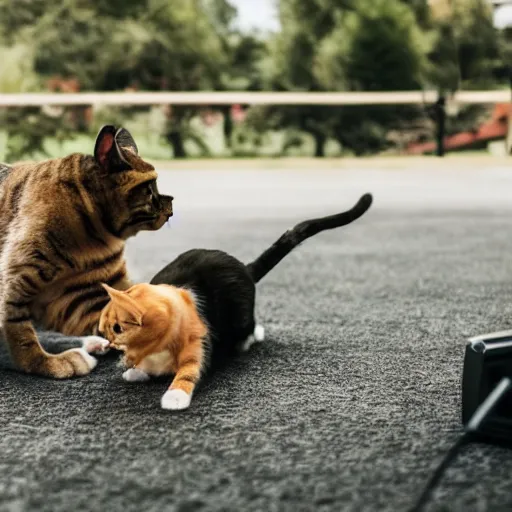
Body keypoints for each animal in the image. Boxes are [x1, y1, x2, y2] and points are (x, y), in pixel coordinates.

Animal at [0, 125, 174, 376]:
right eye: (149, 191)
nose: (171, 208)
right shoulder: (15, 282)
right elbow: (20, 335)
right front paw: (46, 364)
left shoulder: (81, 295)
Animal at [98, 282, 206, 410]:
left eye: (116, 328)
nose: (108, 341)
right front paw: (136, 371)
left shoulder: (194, 348)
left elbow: (187, 373)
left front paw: (175, 396)